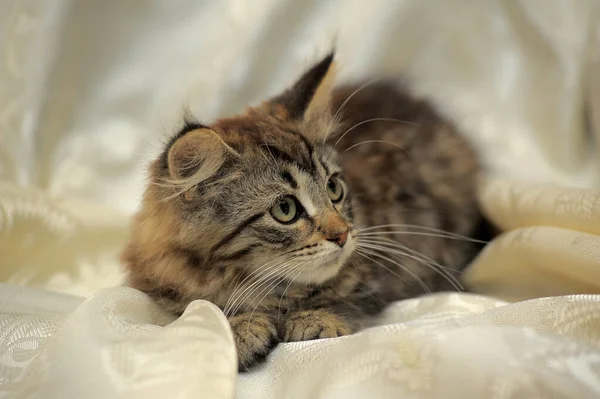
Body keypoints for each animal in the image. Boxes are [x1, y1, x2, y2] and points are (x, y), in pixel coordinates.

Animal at [122, 53, 488, 372]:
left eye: (334, 188)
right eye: (285, 209)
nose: (342, 234)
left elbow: (351, 298)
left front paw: (315, 318)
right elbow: (198, 309)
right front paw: (239, 329)